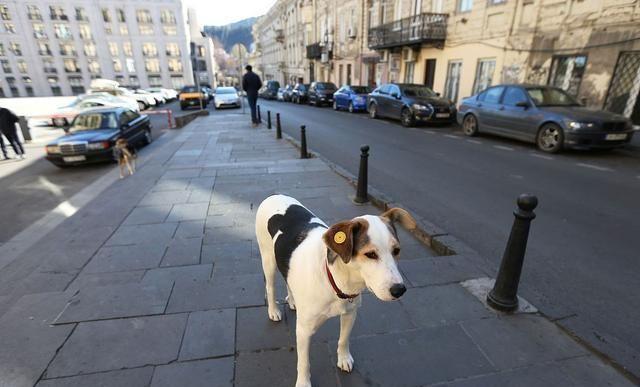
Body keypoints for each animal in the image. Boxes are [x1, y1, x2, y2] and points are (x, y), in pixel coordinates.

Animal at [258, 196, 418, 386]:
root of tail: (273, 195)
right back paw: (273, 310)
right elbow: (304, 362)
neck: (335, 280)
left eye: (396, 251)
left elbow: (343, 339)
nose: (399, 290)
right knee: (270, 287)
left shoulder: (350, 313)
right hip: (268, 260)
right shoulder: (303, 330)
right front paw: (303, 382)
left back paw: (292, 300)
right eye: (370, 254)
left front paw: (343, 358)